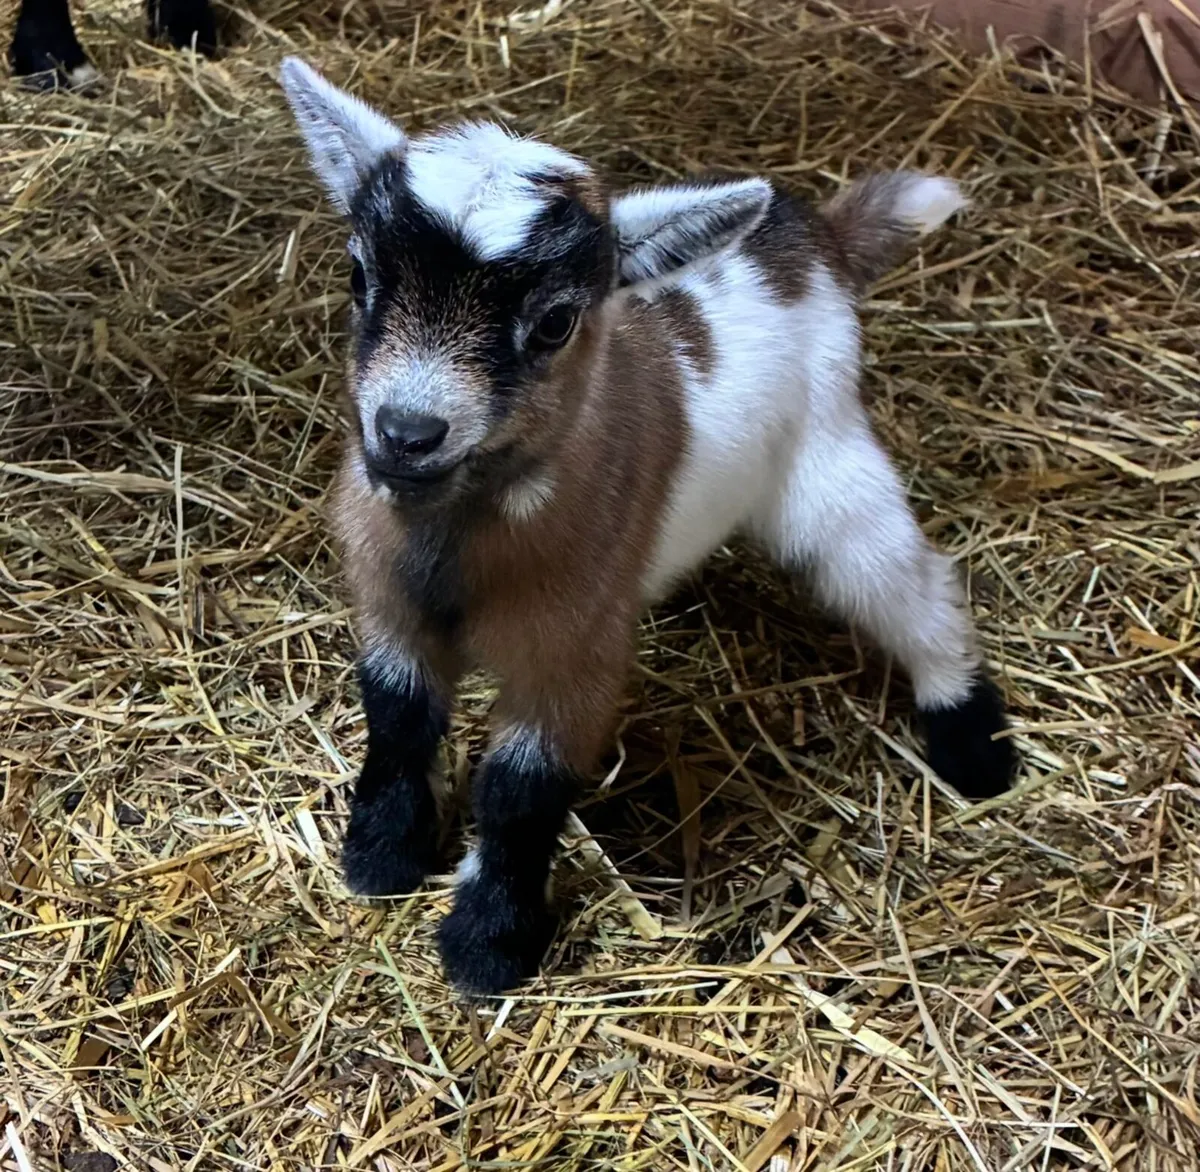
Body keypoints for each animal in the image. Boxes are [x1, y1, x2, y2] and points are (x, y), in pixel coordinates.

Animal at [279, 57, 1019, 995]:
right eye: (358, 277)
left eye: (556, 321)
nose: (407, 433)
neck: (458, 545)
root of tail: (811, 233)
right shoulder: (388, 608)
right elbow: (399, 719)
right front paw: (379, 858)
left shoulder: (574, 657)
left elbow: (521, 789)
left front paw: (489, 944)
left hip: (828, 462)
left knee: (904, 576)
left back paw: (972, 738)